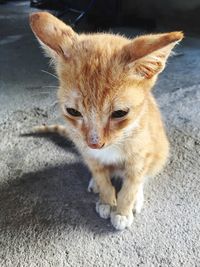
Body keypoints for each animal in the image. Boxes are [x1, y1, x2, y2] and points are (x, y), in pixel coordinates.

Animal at [28, 12, 184, 230]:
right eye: (73, 111)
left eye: (119, 113)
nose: (95, 143)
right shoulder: (89, 154)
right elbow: (102, 178)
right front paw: (106, 200)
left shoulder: (140, 157)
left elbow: (131, 185)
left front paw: (123, 211)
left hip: (159, 152)